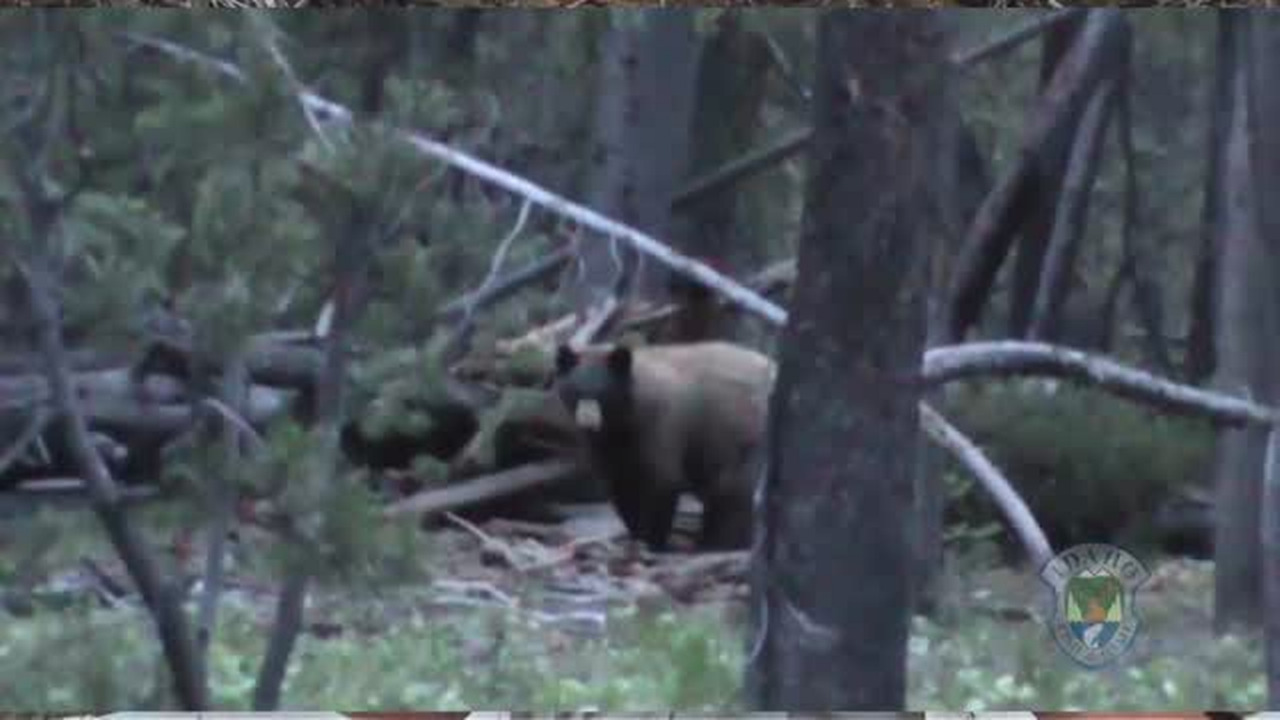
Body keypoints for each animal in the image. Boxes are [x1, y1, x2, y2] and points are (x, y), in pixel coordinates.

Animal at [552, 341, 774, 551]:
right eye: (575, 392)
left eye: (603, 394)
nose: (587, 422)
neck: (624, 420)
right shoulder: (609, 446)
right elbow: (621, 484)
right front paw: (637, 536)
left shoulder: (659, 427)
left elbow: (662, 480)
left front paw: (650, 540)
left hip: (738, 433)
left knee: (731, 489)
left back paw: (720, 543)